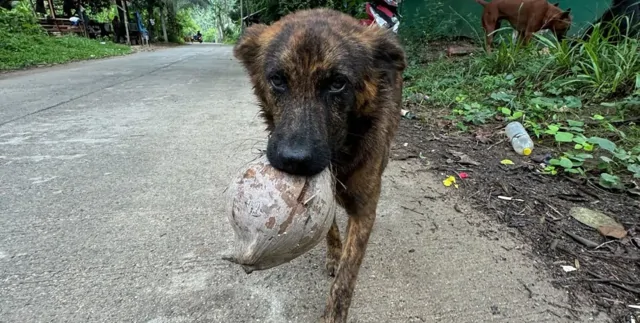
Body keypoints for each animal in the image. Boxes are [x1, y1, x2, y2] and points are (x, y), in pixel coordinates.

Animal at [234, 6, 404, 323]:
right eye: (277, 80)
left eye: (337, 83)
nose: (294, 161)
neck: (340, 154)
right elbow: (330, 226)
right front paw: (334, 253)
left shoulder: (364, 210)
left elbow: (346, 279)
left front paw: (334, 312)